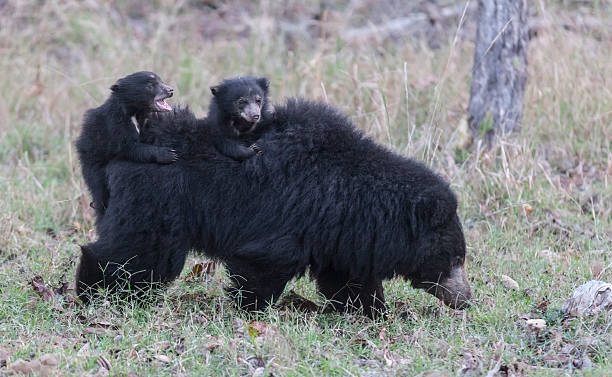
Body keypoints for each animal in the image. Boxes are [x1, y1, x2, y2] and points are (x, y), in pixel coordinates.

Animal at [74, 71, 177, 216]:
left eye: (161, 81)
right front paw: (169, 154)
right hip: (93, 162)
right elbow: (129, 147)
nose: (170, 90)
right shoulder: (114, 123)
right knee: (98, 189)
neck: (135, 111)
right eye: (150, 85)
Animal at [74, 92, 470, 316]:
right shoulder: (292, 215)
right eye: (453, 258)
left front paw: (373, 311)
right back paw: (93, 291)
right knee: (137, 253)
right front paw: (252, 310)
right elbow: (263, 263)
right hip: (159, 201)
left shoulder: (340, 234)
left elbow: (348, 278)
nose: (466, 299)